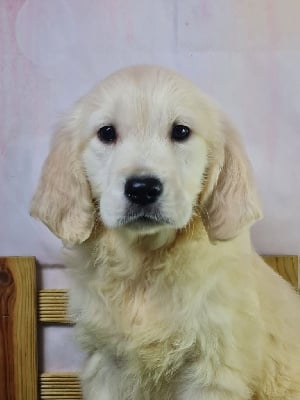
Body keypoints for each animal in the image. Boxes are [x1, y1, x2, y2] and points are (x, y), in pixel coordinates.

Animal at [31, 66, 300, 400]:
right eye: (106, 133)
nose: (142, 188)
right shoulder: (106, 364)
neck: (145, 265)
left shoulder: (213, 370)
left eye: (181, 131)